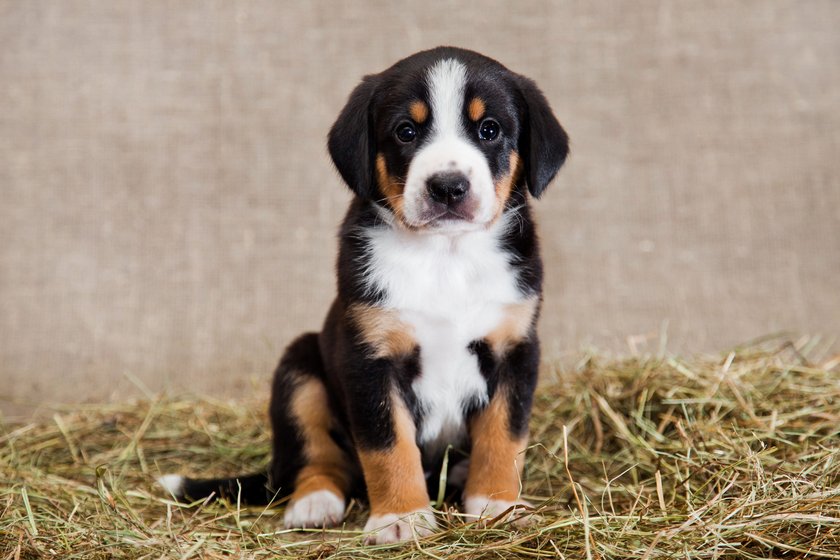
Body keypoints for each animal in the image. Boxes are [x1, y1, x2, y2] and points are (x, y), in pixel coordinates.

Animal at [161, 46, 568, 544]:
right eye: (406, 131)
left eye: (489, 129)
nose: (448, 186)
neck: (445, 257)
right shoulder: (369, 359)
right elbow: (388, 447)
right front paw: (400, 518)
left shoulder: (514, 349)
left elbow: (503, 437)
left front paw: (496, 504)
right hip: (300, 370)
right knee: (316, 460)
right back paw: (313, 503)